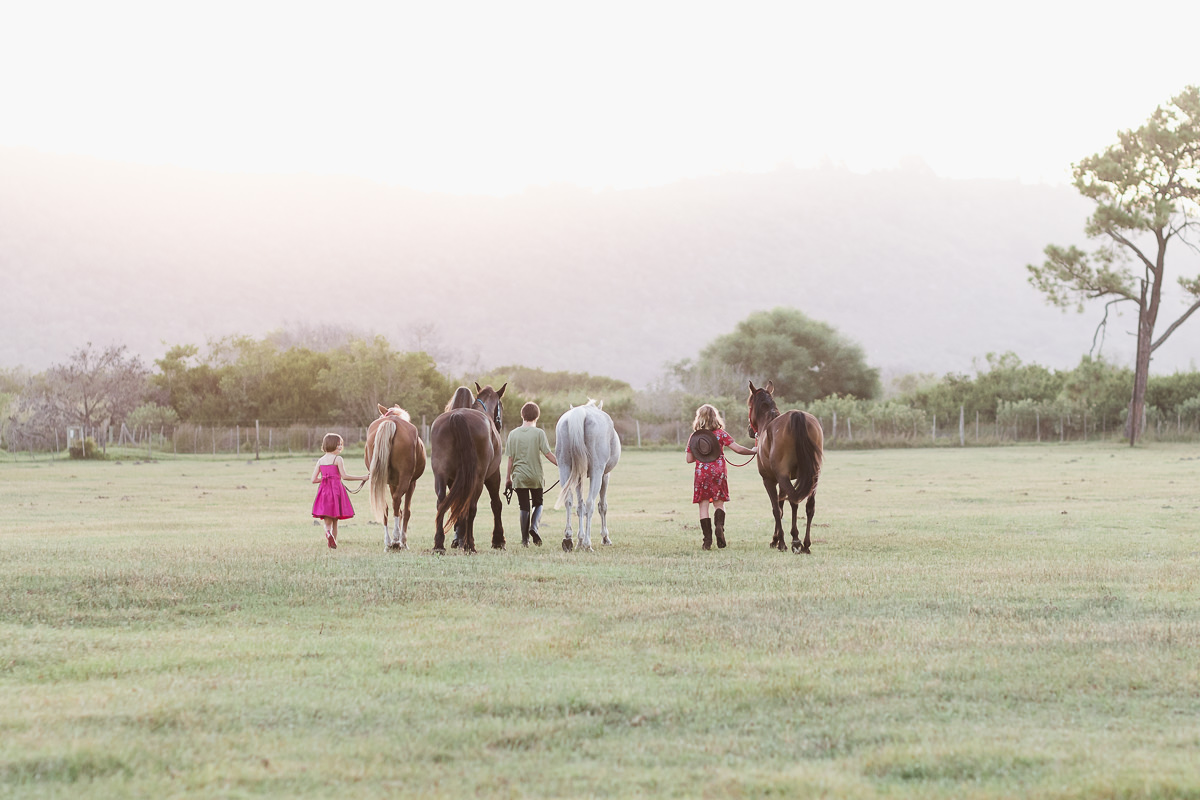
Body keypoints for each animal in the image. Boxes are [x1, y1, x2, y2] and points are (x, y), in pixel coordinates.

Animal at [364, 404, 426, 550]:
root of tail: (391, 421)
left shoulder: (392, 483)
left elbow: (397, 510)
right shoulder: (411, 483)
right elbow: (406, 511)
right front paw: (404, 542)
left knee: (387, 506)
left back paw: (388, 542)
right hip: (406, 479)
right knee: (397, 500)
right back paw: (397, 539)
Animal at [429, 383, 506, 553]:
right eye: (502, 406)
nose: (499, 425)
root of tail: (457, 416)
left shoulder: (454, 480)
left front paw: (458, 538)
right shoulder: (493, 475)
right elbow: (496, 504)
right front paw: (498, 540)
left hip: (441, 475)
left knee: (442, 502)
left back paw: (439, 543)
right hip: (477, 479)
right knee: (471, 507)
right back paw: (469, 544)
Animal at [554, 400, 621, 551]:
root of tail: (580, 413)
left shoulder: (578, 476)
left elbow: (580, 506)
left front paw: (579, 540)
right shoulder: (605, 476)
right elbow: (602, 506)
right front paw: (605, 538)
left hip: (564, 468)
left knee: (569, 500)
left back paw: (569, 538)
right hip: (597, 472)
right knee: (590, 504)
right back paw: (587, 543)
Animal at [747, 380, 824, 554]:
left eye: (749, 405)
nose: (749, 430)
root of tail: (797, 415)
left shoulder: (770, 480)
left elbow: (777, 509)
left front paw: (780, 541)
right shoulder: (783, 480)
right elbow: (782, 506)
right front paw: (776, 539)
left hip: (783, 477)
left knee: (794, 500)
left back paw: (795, 541)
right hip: (813, 477)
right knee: (809, 506)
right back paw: (806, 544)